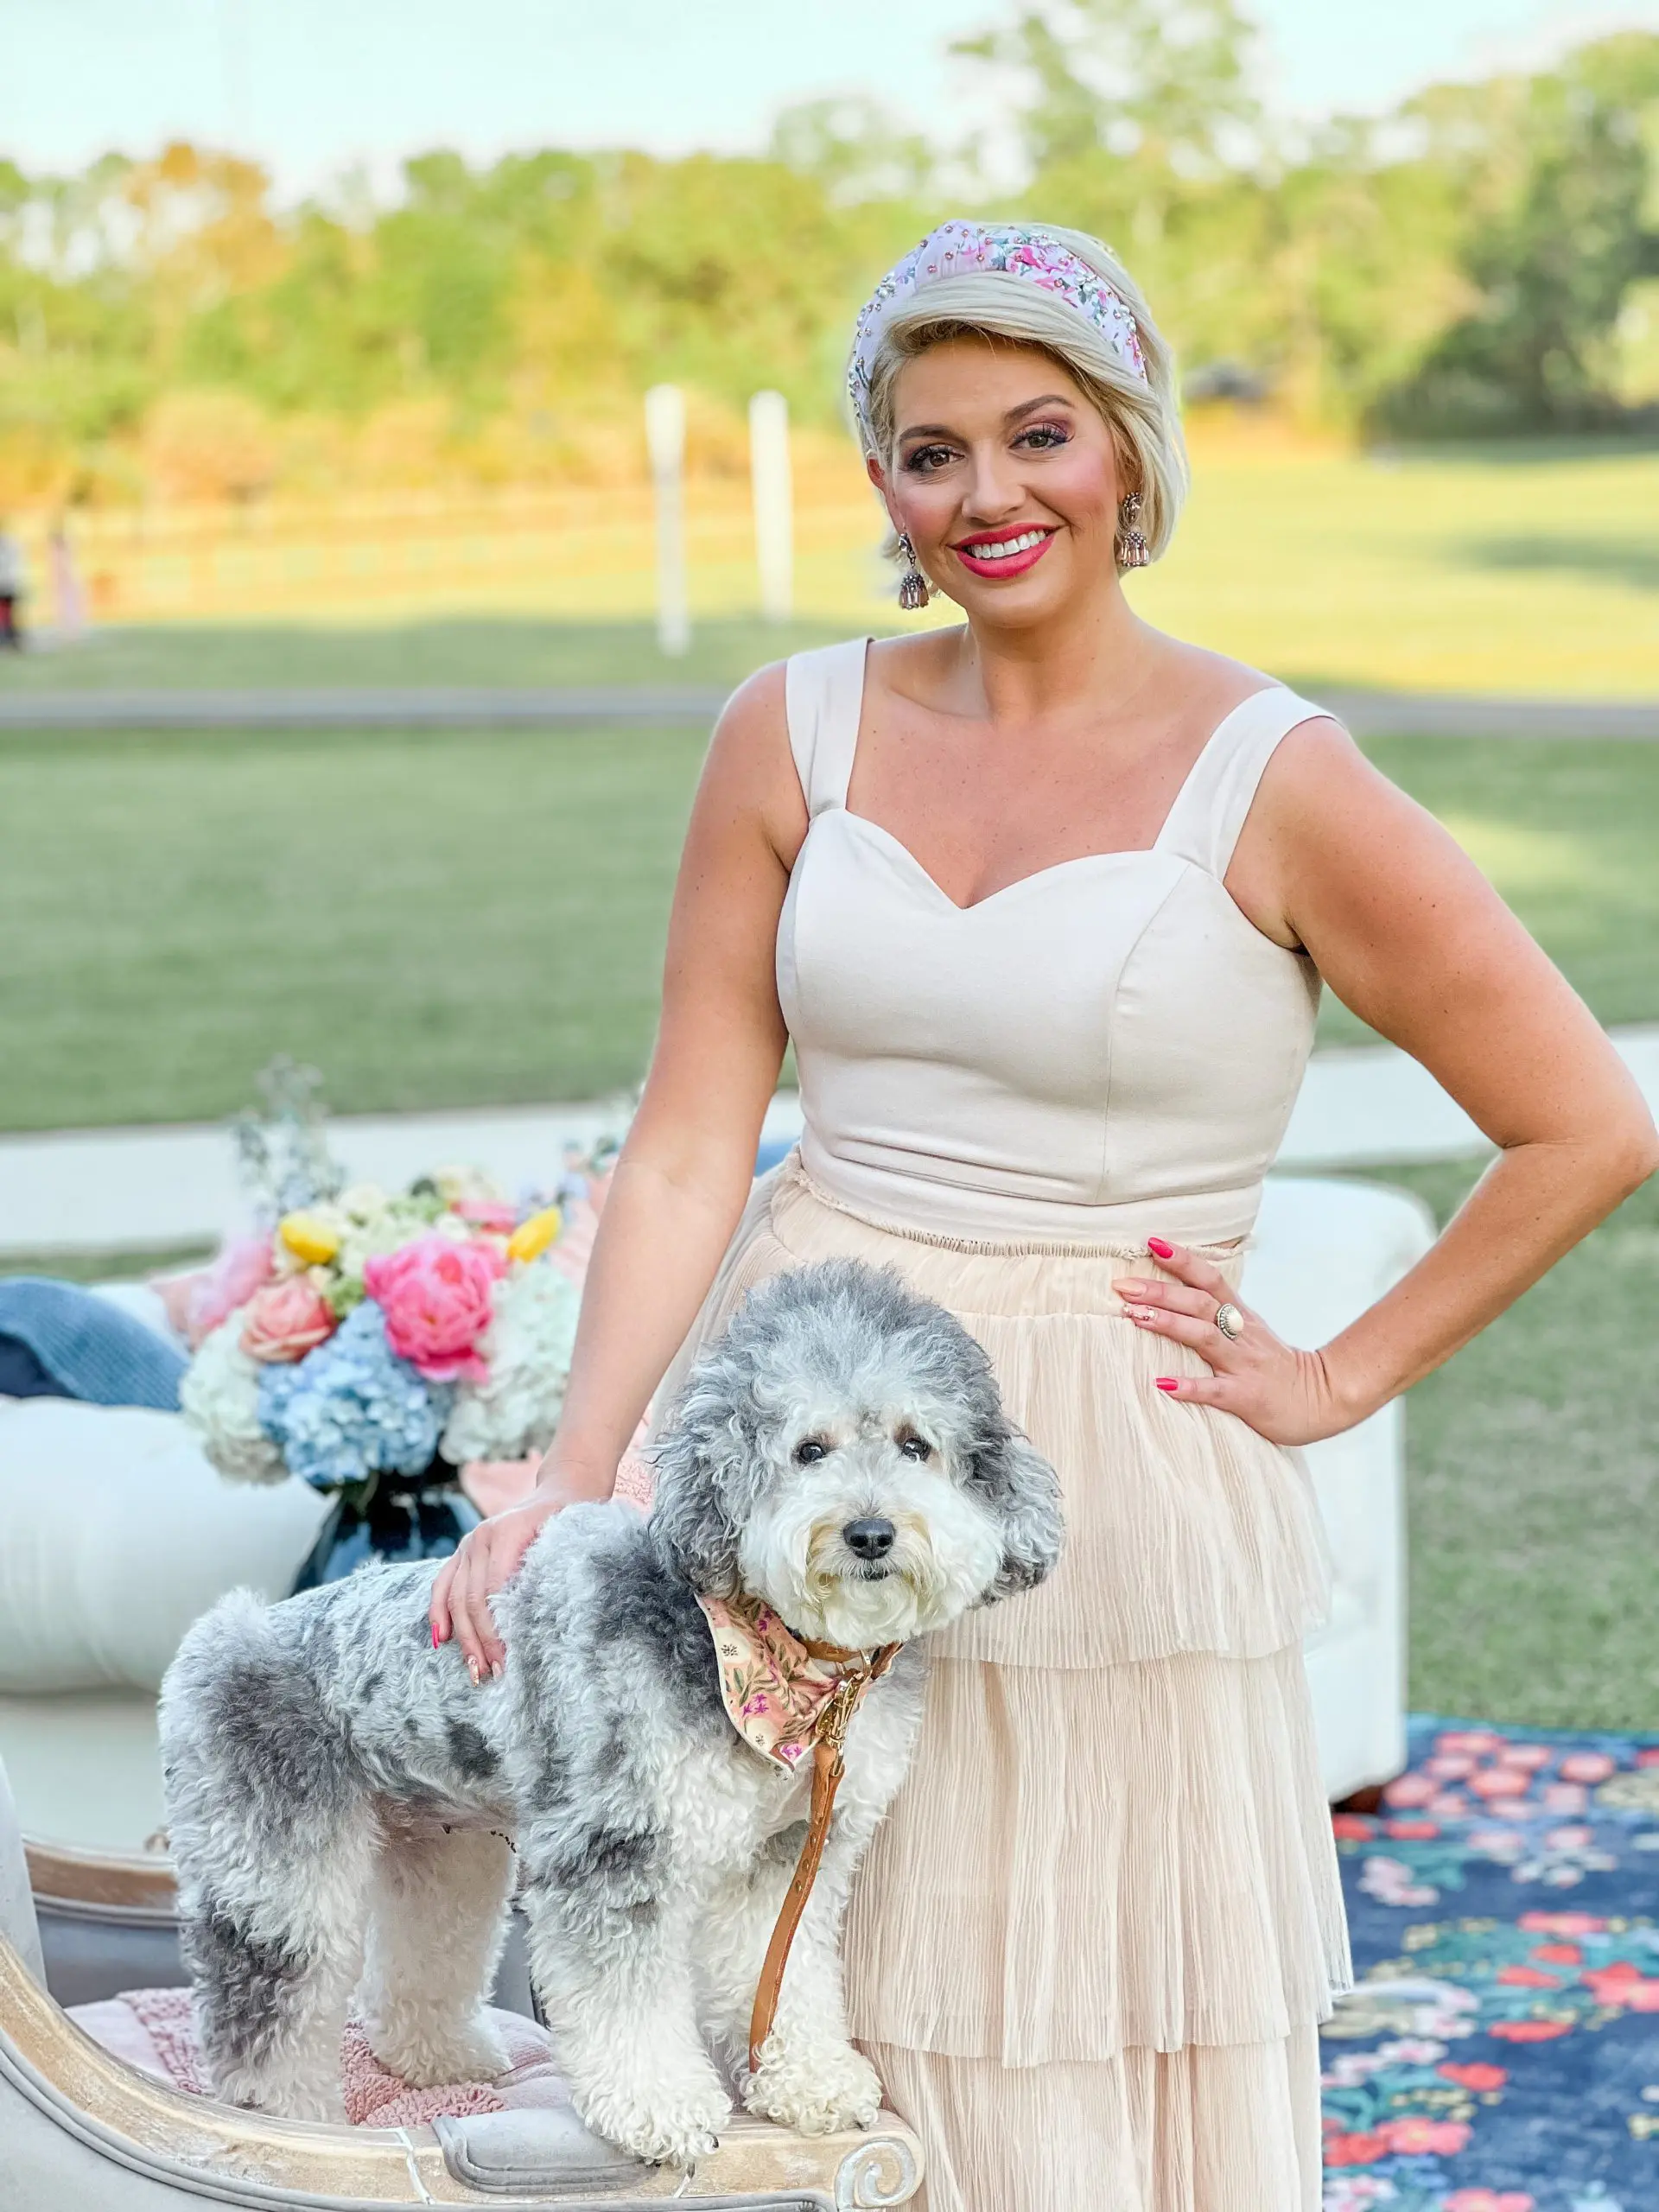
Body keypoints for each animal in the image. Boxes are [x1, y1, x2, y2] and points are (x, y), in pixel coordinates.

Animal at [159, 1256, 1065, 2167]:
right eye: (809, 1450)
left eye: (919, 1445)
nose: (871, 1533)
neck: (777, 1662)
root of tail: (221, 1636)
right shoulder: (613, 1847)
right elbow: (626, 2000)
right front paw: (659, 2106)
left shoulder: (785, 1857)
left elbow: (780, 1975)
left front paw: (808, 2079)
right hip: (277, 1877)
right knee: (266, 2018)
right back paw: (284, 2127)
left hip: (443, 1854)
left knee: (418, 1963)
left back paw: (441, 2059)